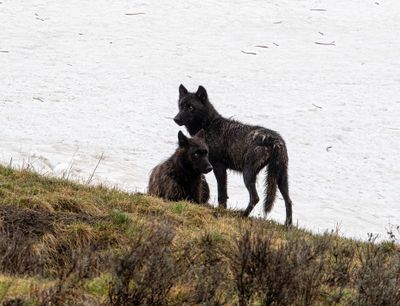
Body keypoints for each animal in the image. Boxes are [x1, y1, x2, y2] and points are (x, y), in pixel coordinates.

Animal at [173, 83, 292, 225]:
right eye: (181, 105)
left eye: (191, 107)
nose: (176, 119)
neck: (209, 125)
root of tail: (275, 141)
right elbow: (224, 194)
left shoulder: (218, 166)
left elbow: (221, 194)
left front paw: (221, 211)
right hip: (281, 178)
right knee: (288, 201)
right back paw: (288, 226)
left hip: (248, 174)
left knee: (255, 198)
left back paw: (242, 215)